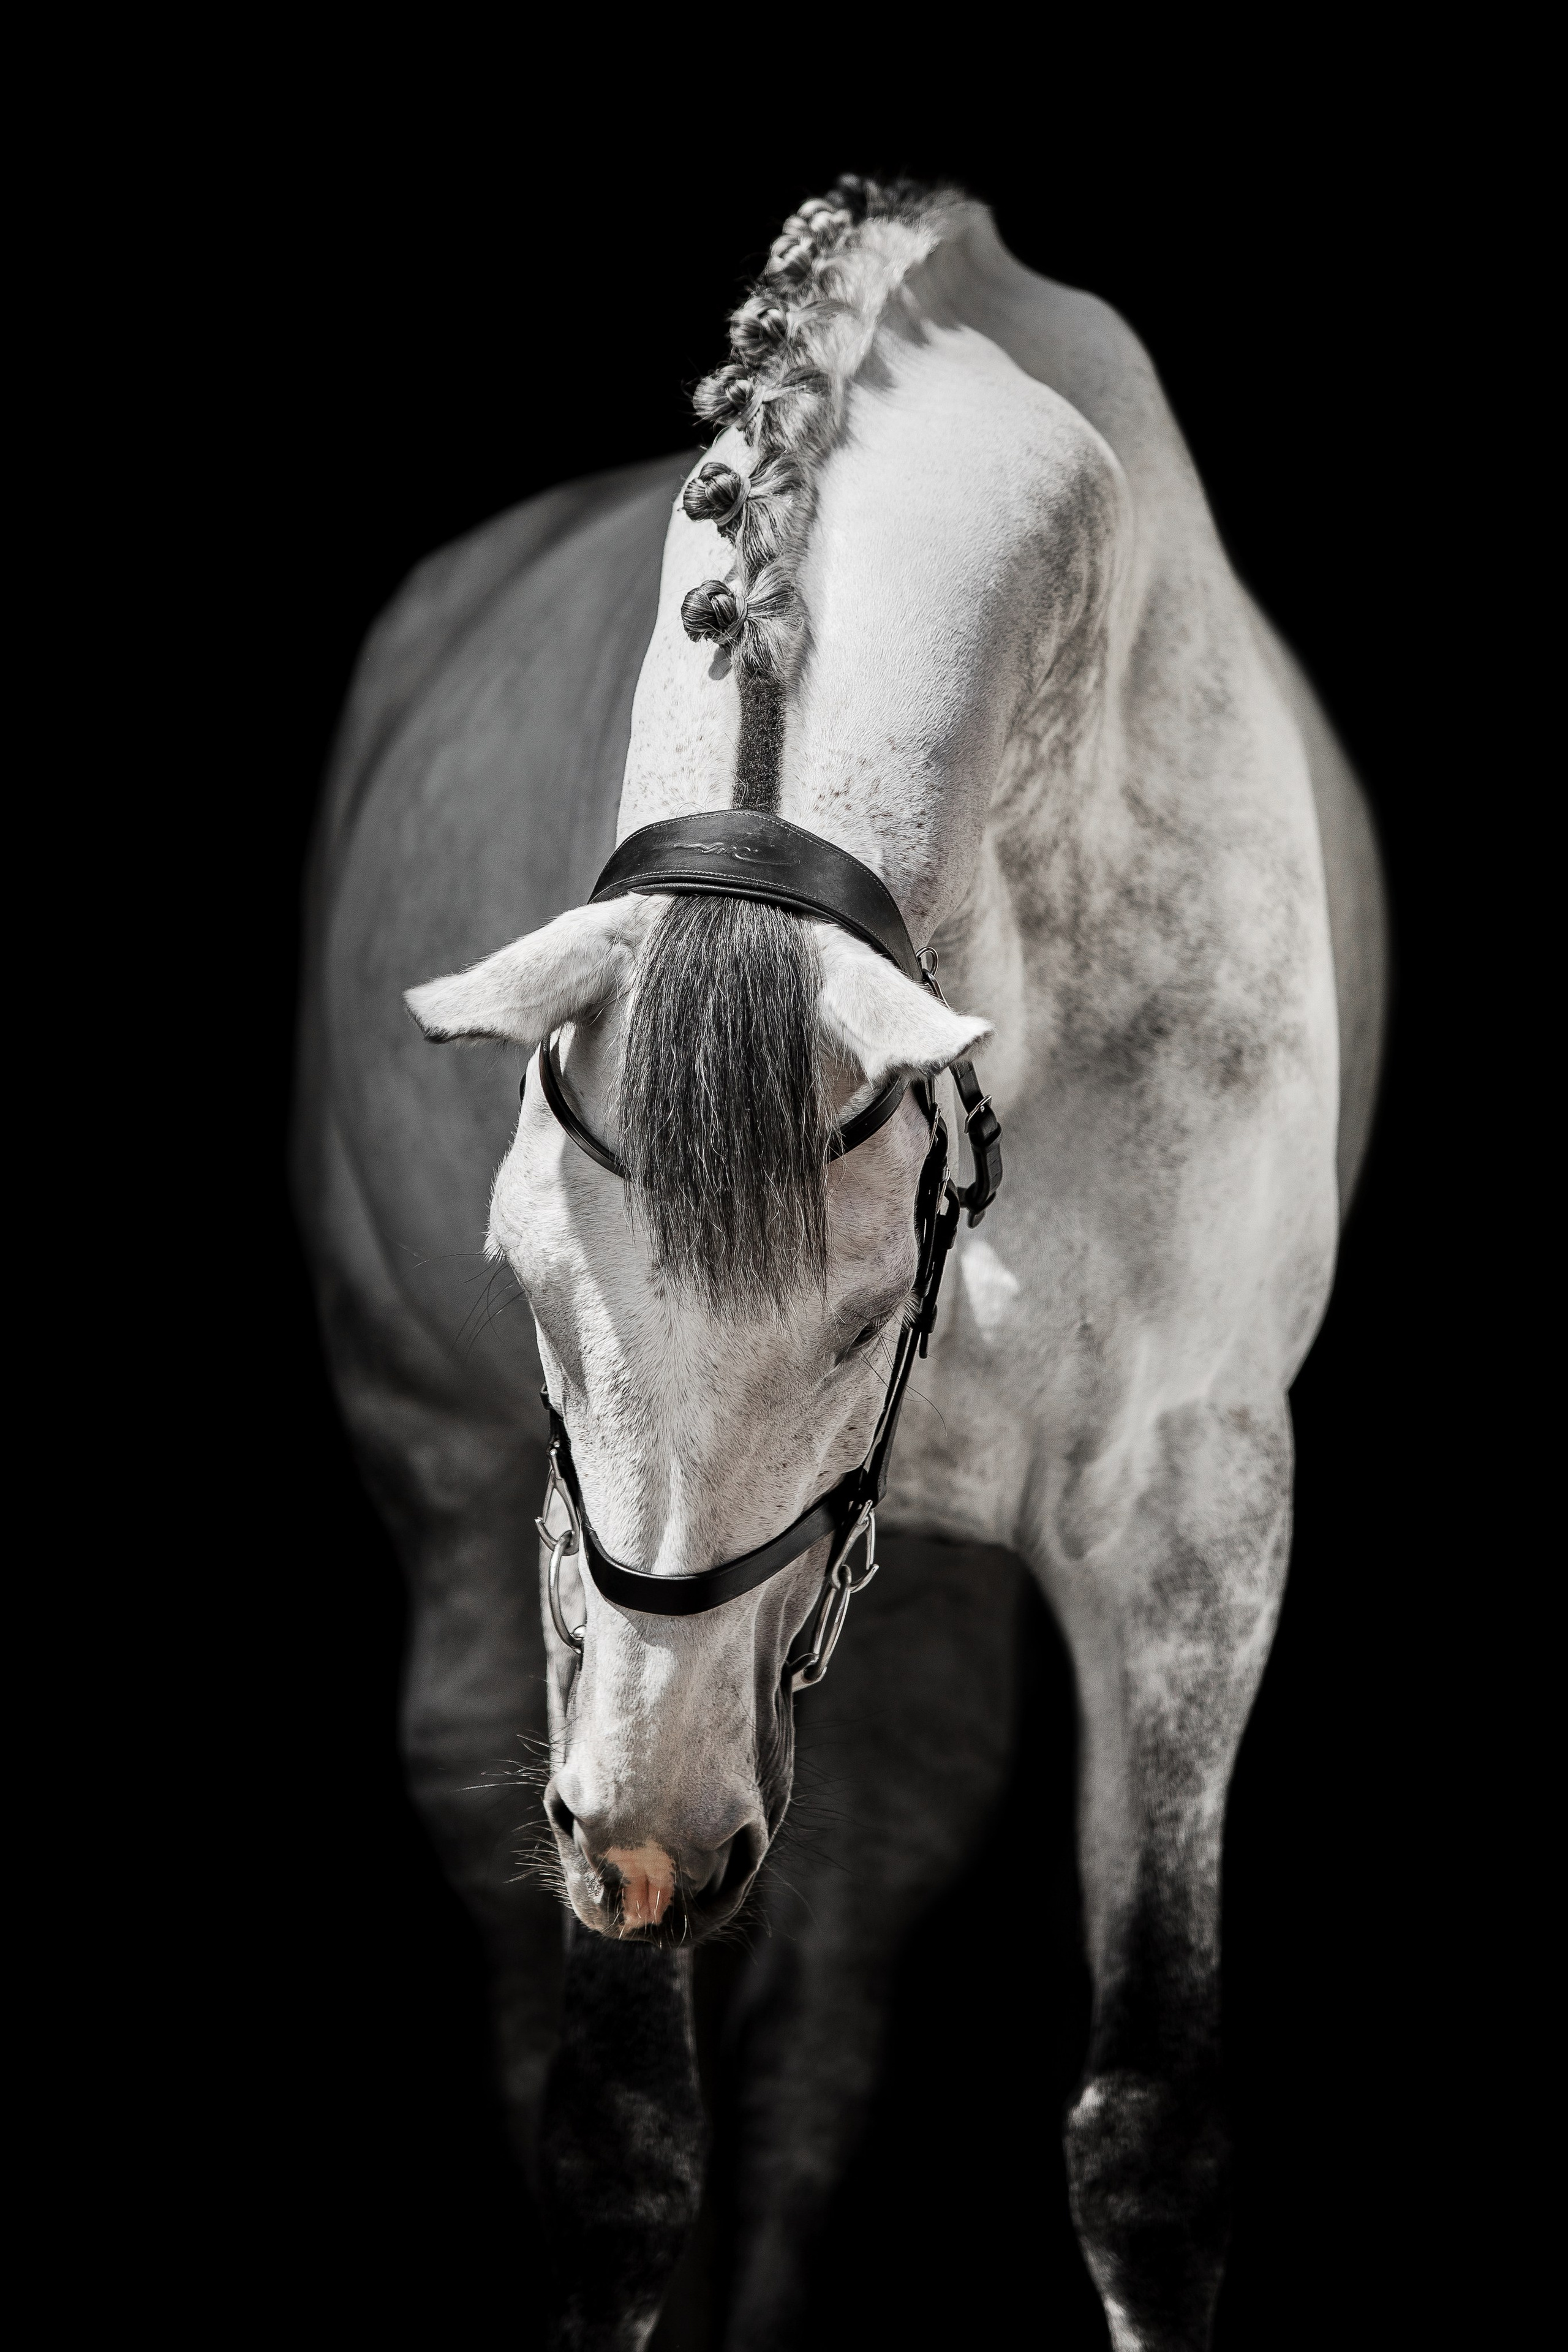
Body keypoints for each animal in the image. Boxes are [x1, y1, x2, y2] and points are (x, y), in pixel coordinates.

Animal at [294, 175, 1385, 2350]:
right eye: (527, 1280)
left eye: (873, 1315)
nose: (636, 1849)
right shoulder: (580, 1596)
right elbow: (619, 2137)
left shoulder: (1194, 1518)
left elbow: (1148, 2134)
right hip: (471, 1542)